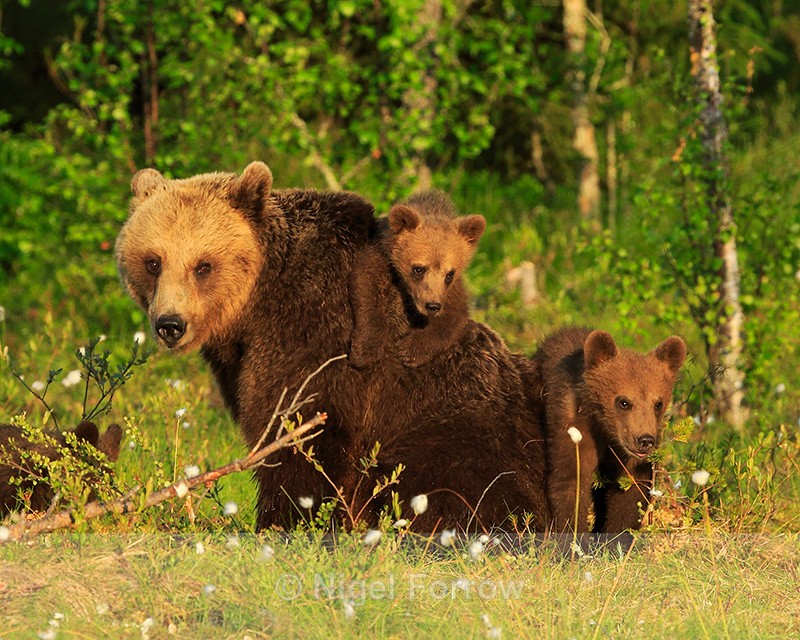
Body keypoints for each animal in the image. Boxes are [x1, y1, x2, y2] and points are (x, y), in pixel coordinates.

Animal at [349, 190, 485, 368]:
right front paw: (366, 351)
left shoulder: (451, 290)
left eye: (449, 274)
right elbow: (368, 285)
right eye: (418, 269)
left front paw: (410, 349)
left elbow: (454, 317)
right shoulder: (381, 256)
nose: (432, 306)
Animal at [532, 327, 686, 538]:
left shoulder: (625, 454)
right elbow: (570, 480)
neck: (605, 426)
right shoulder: (573, 426)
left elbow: (629, 489)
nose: (645, 440)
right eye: (624, 402)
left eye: (658, 403)